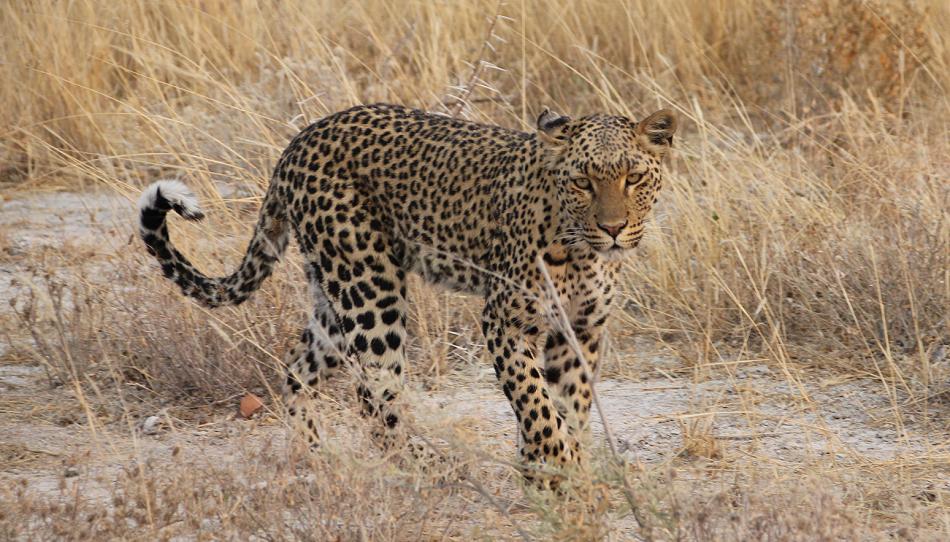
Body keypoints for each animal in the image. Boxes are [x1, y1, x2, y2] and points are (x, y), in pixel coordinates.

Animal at [139, 102, 676, 476]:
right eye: (583, 181)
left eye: (633, 177)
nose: (612, 228)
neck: (584, 251)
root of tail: (299, 141)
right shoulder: (505, 321)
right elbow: (536, 404)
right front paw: (553, 468)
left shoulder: (579, 329)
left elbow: (569, 404)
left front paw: (560, 470)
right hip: (370, 287)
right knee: (373, 394)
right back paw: (429, 465)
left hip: (333, 298)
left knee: (298, 369)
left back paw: (318, 456)